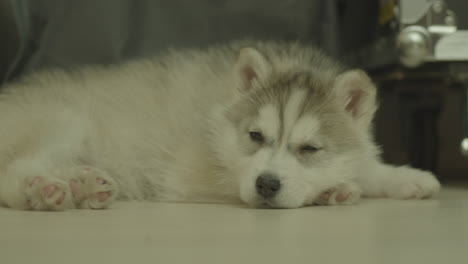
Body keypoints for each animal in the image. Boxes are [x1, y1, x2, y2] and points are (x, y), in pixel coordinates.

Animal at [0, 41, 438, 210]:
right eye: (255, 136)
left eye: (310, 149)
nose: (267, 185)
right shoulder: (189, 175)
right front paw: (330, 191)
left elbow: (364, 165)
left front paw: (406, 178)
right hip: (65, 119)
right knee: (13, 174)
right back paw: (48, 189)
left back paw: (84, 184)